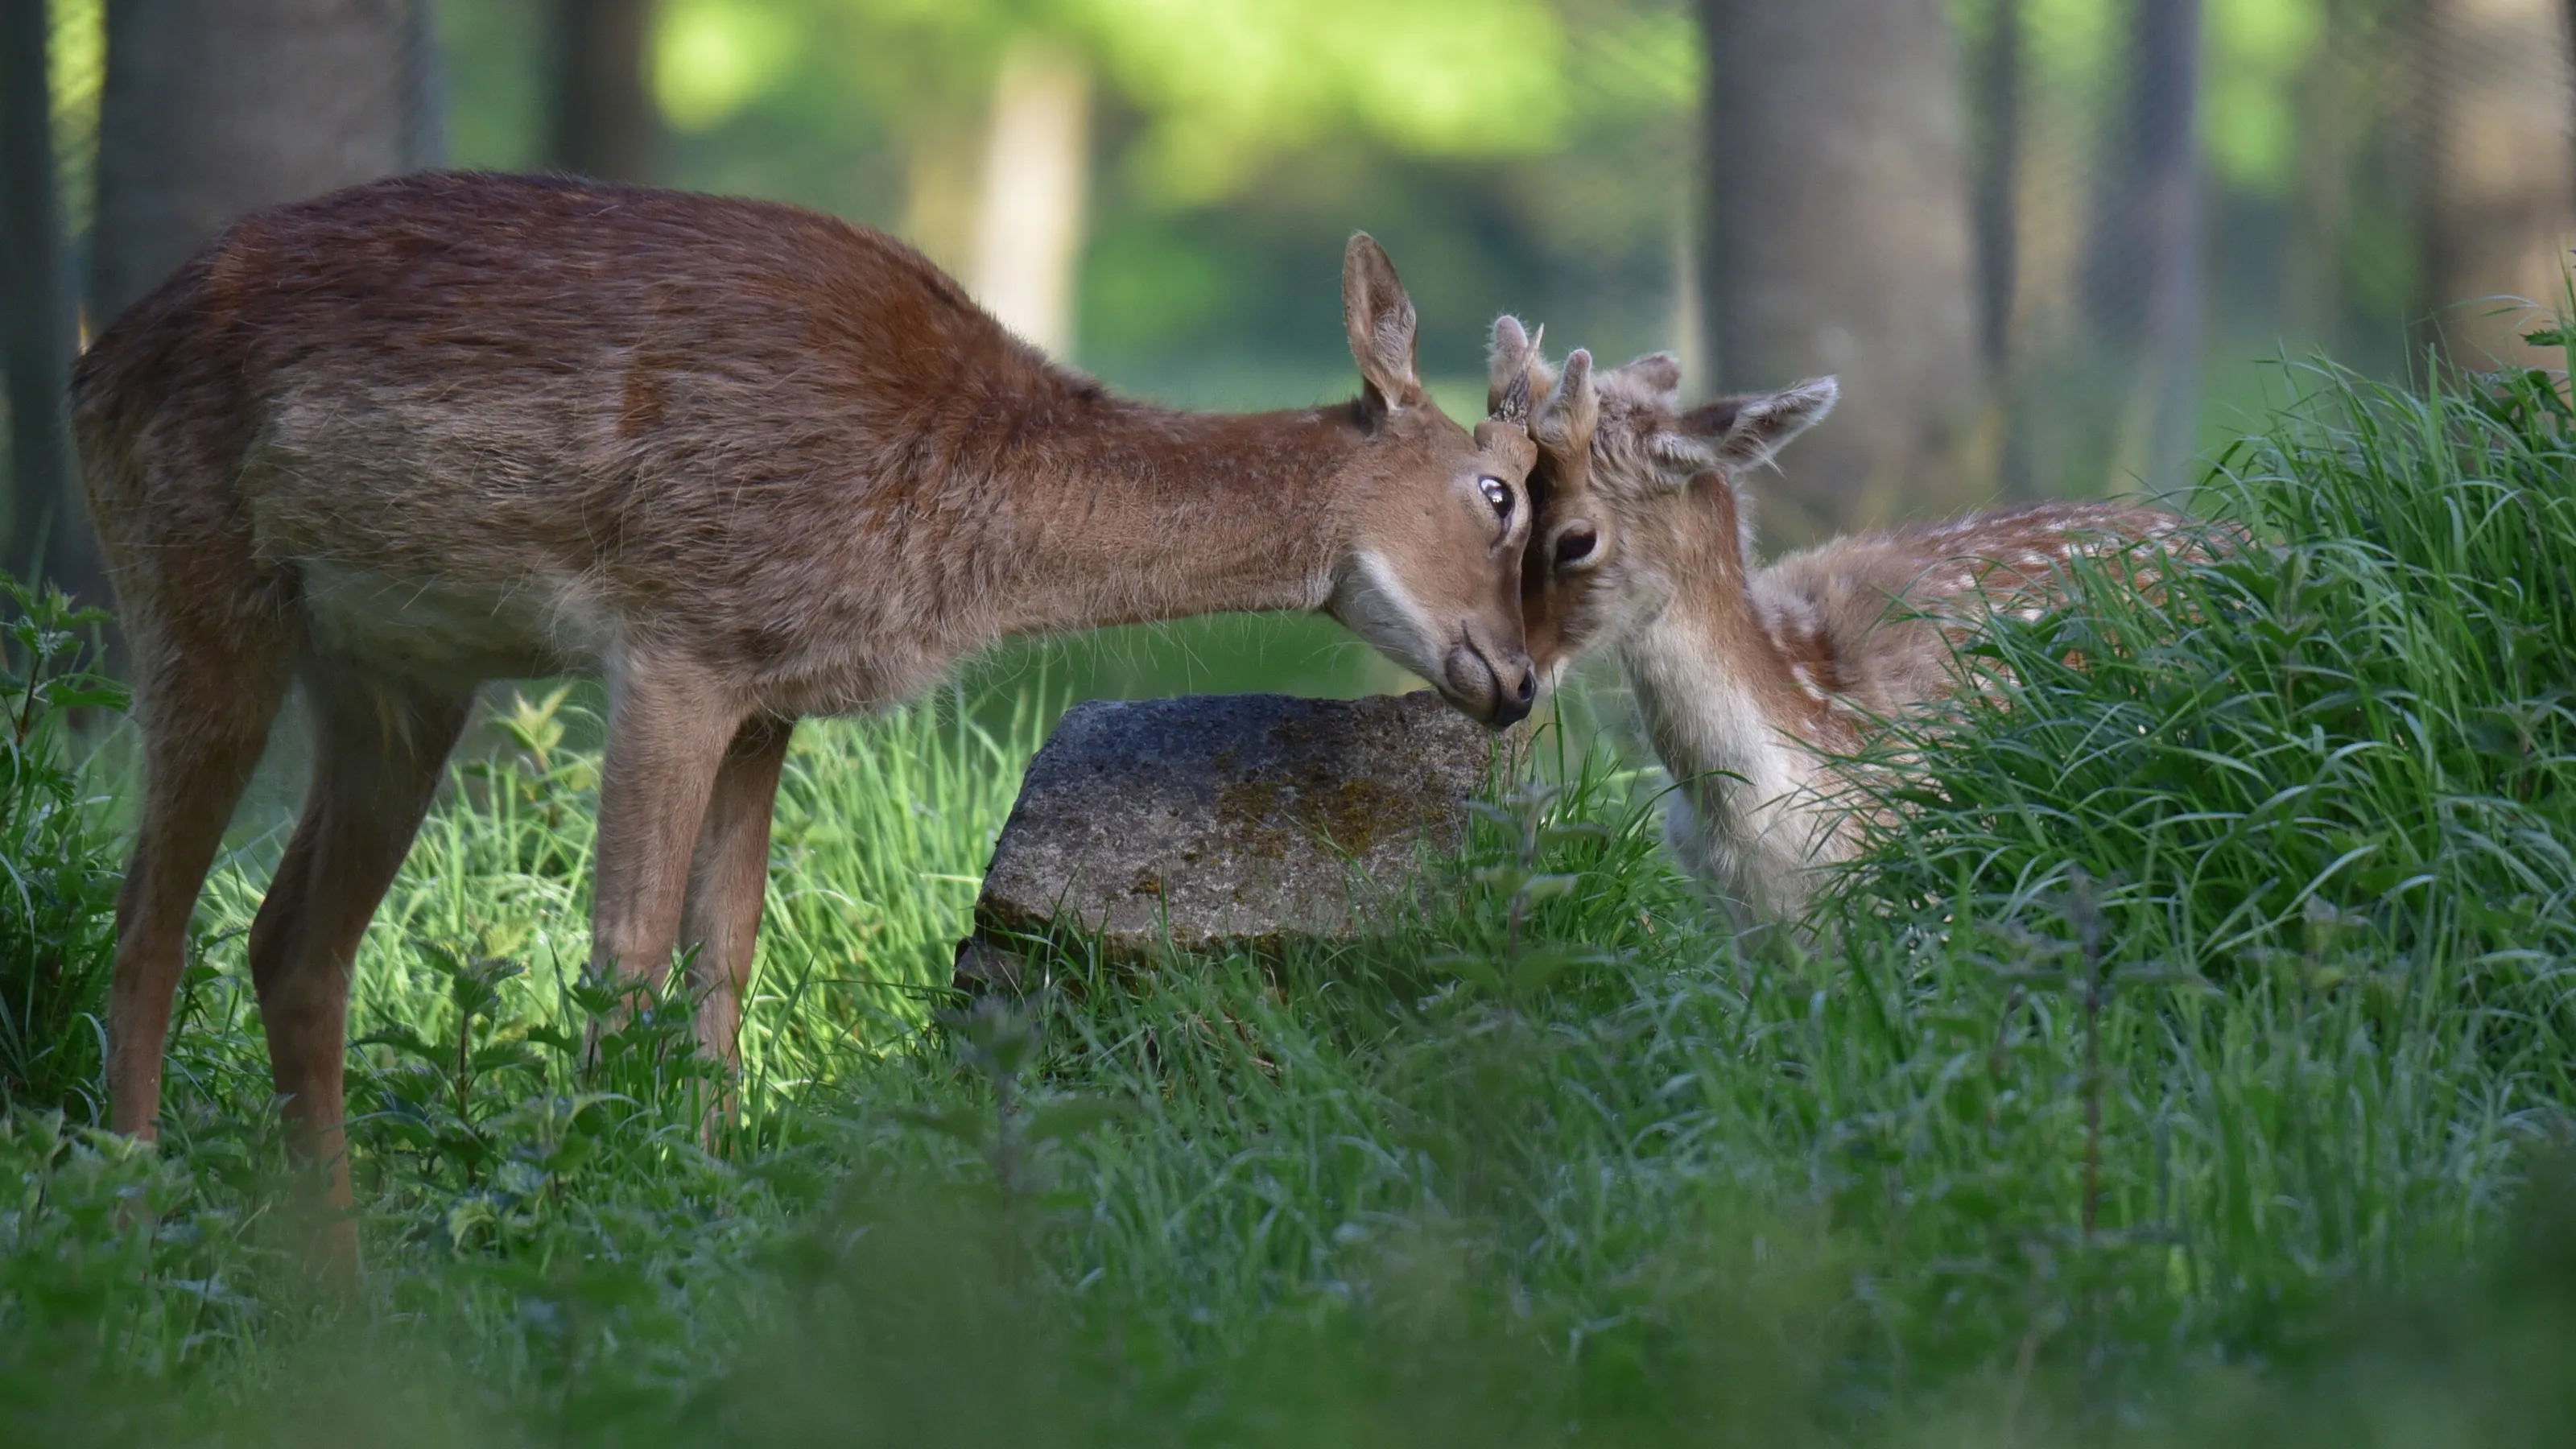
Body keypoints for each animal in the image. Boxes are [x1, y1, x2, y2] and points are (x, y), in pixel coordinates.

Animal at [74, 170, 1543, 1273]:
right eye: (1499, 493)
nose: (1521, 680)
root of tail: (92, 368)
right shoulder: (674, 635)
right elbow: (625, 949)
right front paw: (584, 1204)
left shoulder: (767, 690)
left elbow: (727, 953)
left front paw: (710, 1190)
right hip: (190, 586)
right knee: (150, 915)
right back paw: (130, 1224)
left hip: (397, 673)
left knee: (291, 942)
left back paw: (339, 1272)